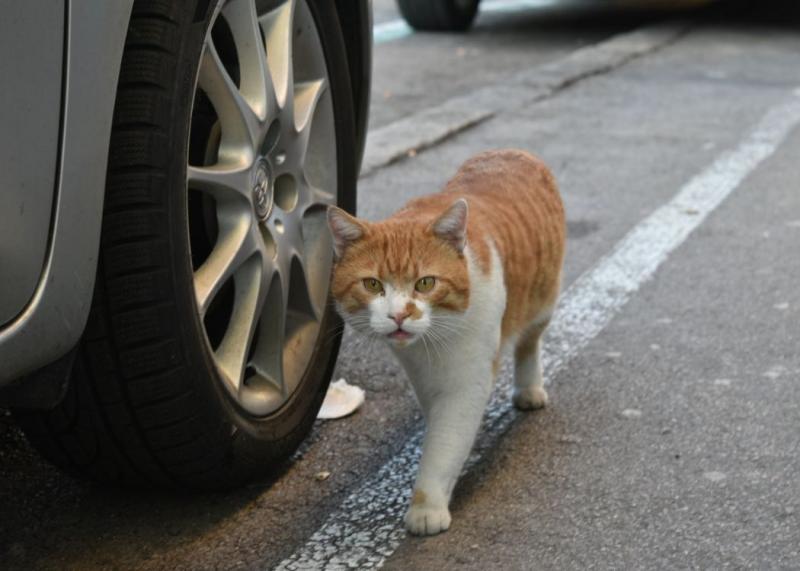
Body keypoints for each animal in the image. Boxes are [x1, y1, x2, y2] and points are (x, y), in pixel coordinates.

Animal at [328, 147, 564, 536]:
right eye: (372, 285)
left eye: (426, 283)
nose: (399, 315)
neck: (430, 346)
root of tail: (513, 150)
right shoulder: (422, 378)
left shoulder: (465, 385)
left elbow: (445, 442)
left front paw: (427, 506)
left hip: (542, 300)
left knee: (529, 343)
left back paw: (529, 389)